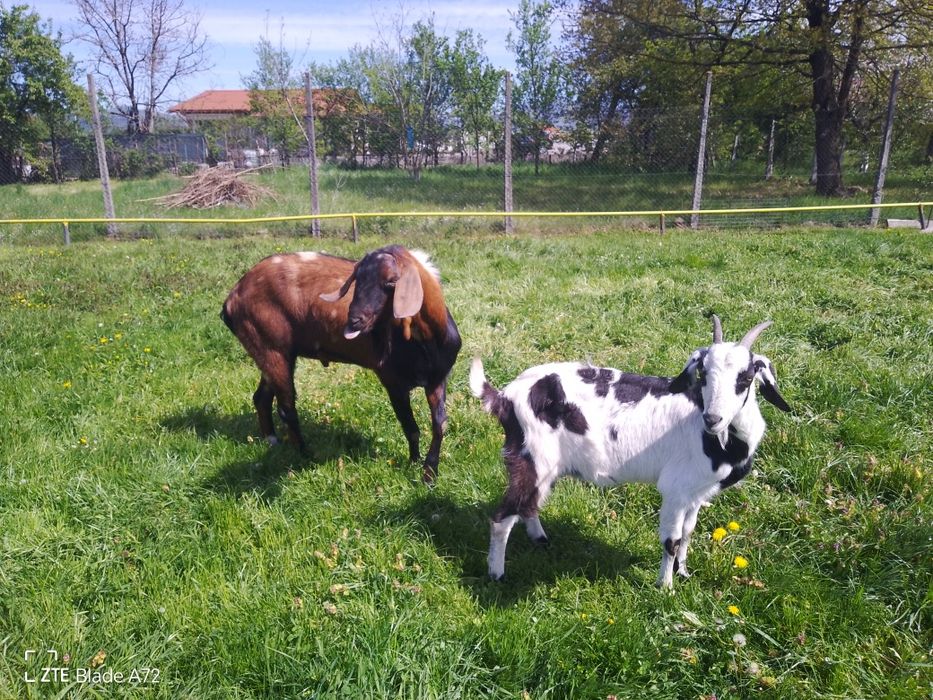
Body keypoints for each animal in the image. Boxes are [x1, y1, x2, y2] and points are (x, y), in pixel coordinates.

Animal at [222, 245, 461, 483]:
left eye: (392, 282)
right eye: (357, 278)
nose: (354, 321)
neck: (427, 341)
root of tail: (232, 299)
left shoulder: (438, 378)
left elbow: (440, 423)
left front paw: (429, 473)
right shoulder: (392, 380)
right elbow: (410, 427)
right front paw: (414, 463)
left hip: (273, 353)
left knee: (261, 397)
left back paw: (272, 441)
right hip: (272, 349)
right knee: (286, 407)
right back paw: (305, 454)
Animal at [469, 315, 790, 588]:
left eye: (745, 378)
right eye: (704, 374)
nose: (713, 419)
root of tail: (505, 396)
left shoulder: (696, 492)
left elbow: (688, 533)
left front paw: (683, 573)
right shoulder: (675, 489)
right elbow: (672, 540)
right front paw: (665, 588)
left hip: (545, 466)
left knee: (529, 503)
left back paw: (540, 539)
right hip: (532, 459)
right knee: (502, 517)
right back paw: (497, 575)